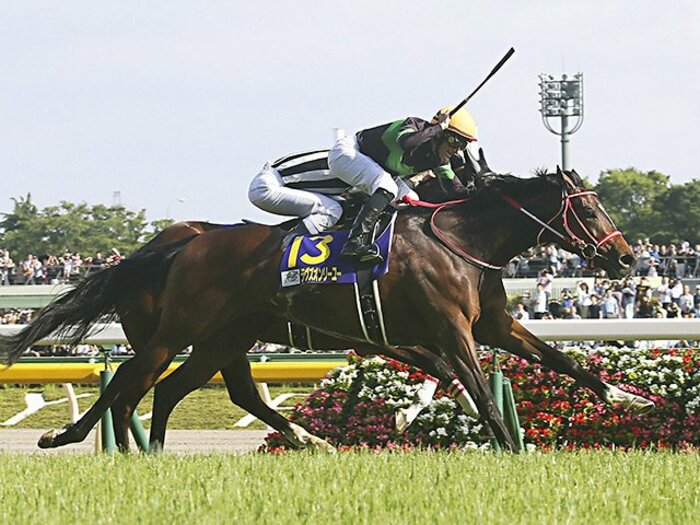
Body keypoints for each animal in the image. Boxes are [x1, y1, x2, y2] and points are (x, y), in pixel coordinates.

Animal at [0, 168, 654, 452]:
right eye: (588, 210)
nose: (625, 258)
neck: (461, 238)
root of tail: (183, 245)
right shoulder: (445, 328)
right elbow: (469, 385)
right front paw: (510, 449)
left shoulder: (486, 322)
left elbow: (558, 359)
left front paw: (629, 398)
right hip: (178, 330)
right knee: (131, 384)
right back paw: (98, 442)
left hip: (225, 338)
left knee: (185, 388)